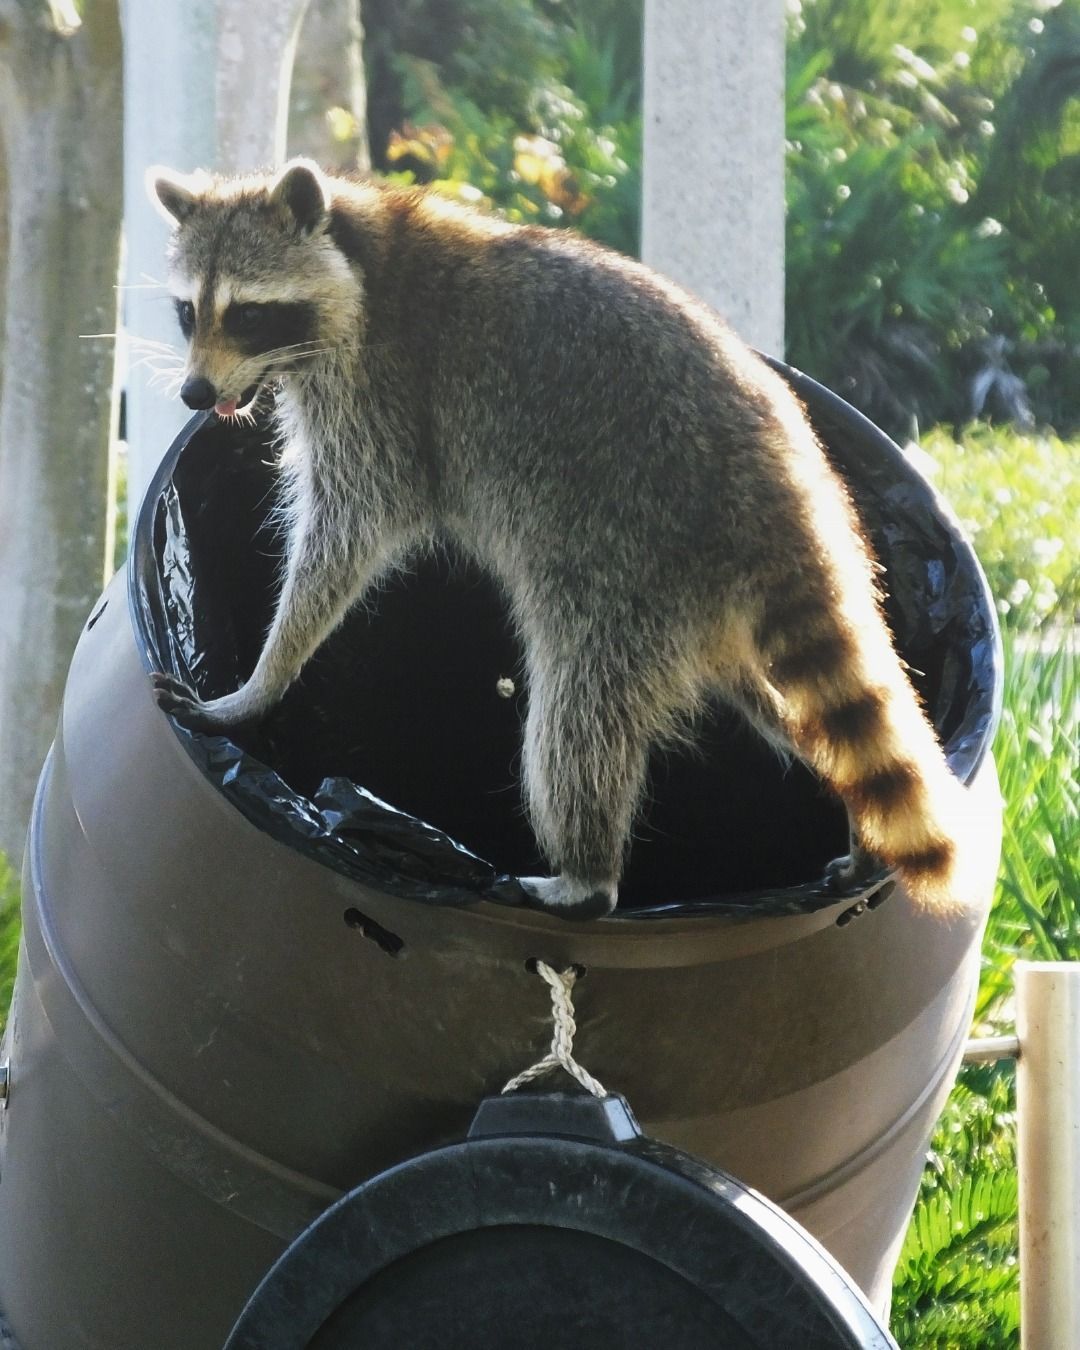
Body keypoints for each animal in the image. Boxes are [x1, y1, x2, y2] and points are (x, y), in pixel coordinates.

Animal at [148, 157, 977, 920]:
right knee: (789, 707)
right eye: (188, 311)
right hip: (705, 605)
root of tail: (785, 487)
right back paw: (852, 819)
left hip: (631, 565)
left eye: (249, 314)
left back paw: (586, 876)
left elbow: (346, 535)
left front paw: (263, 679)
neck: (361, 255)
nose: (193, 393)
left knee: (579, 712)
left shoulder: (383, 395)